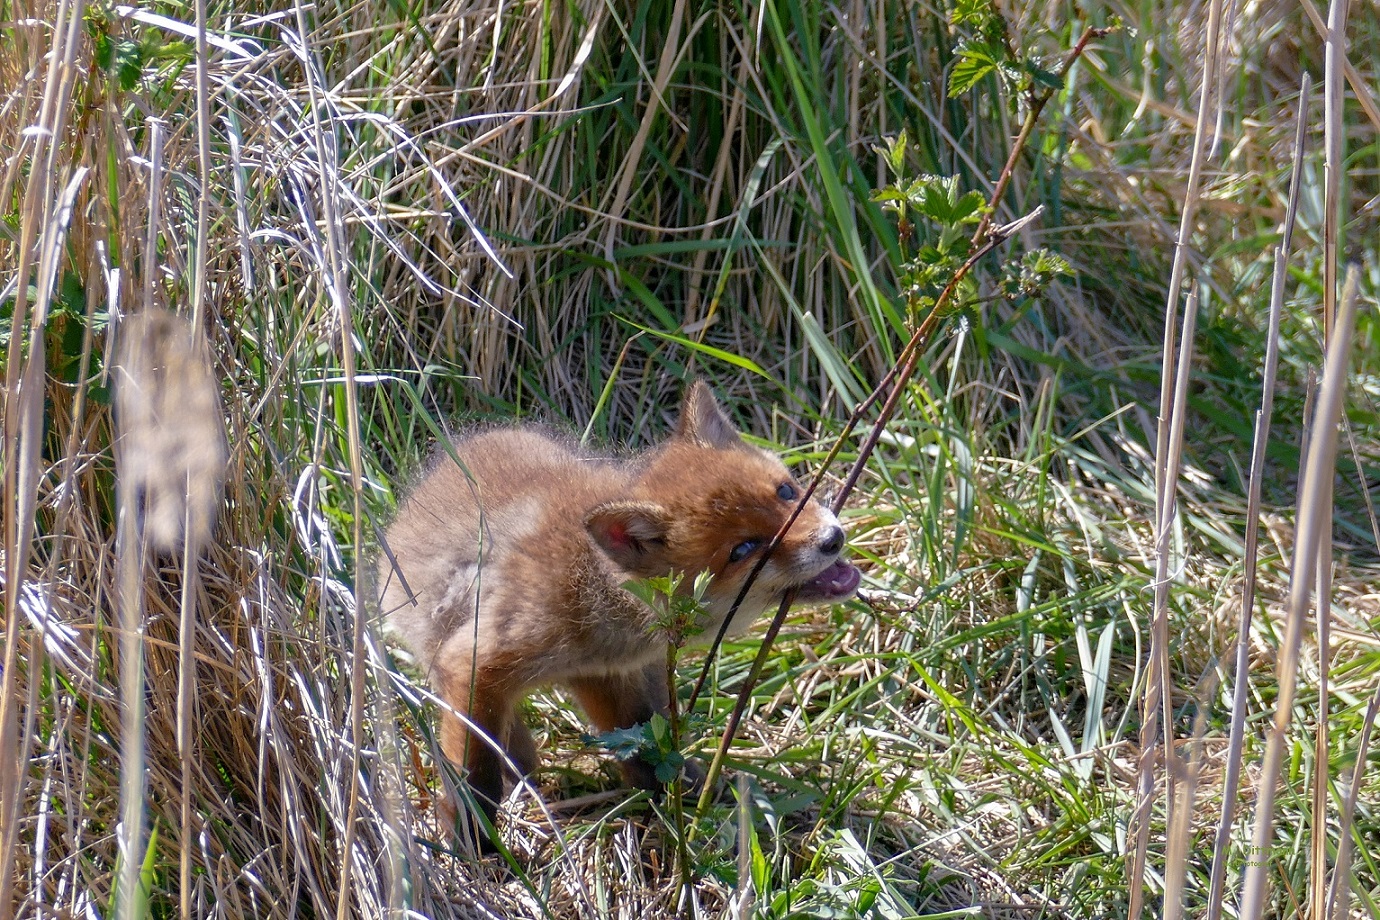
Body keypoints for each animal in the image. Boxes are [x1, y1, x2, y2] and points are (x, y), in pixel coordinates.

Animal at [383, 386, 855, 833]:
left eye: (786, 492)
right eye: (744, 549)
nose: (833, 539)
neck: (590, 586)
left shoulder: (610, 674)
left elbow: (648, 742)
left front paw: (678, 800)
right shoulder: (473, 660)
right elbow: (474, 769)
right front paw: (475, 837)